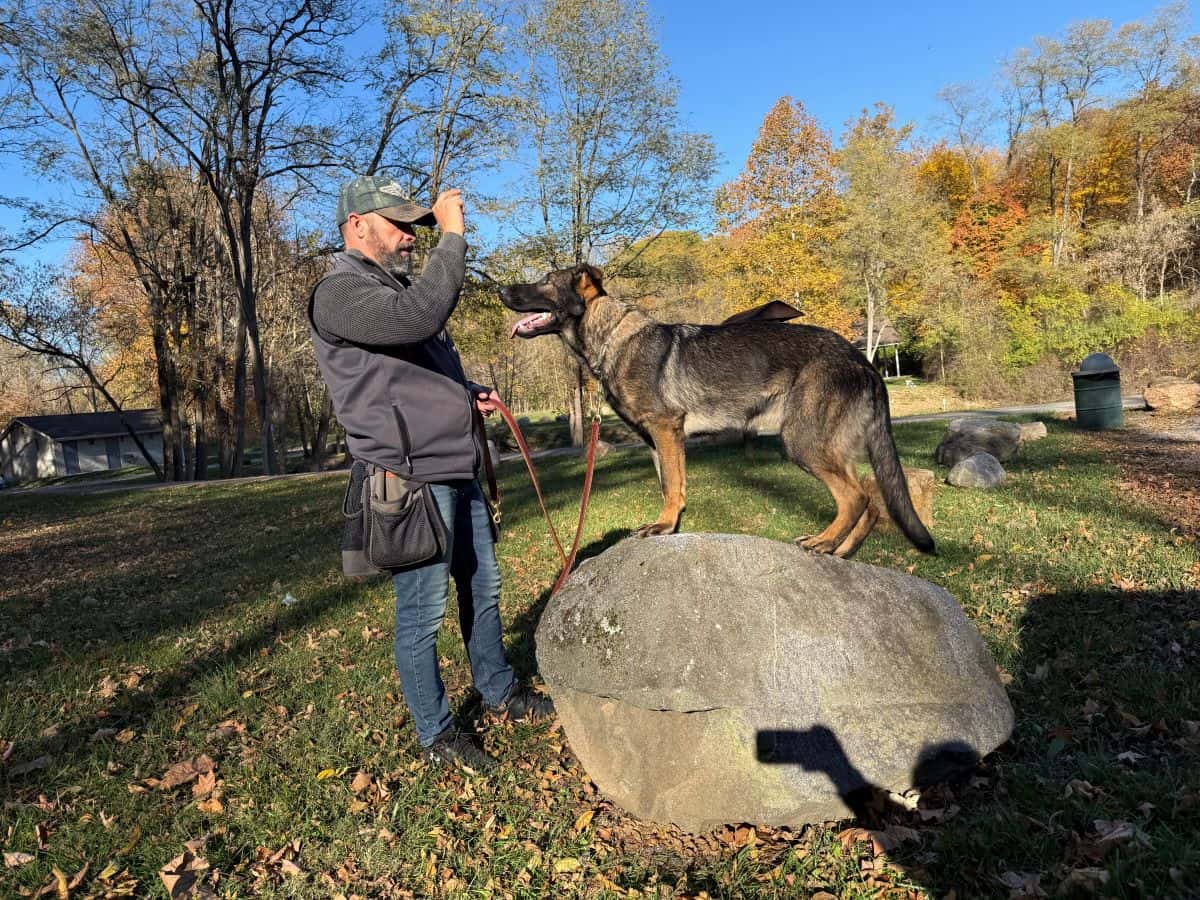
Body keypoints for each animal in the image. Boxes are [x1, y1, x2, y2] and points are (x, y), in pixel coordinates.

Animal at [496, 264, 936, 556]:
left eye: (545, 281)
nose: (499, 289)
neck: (610, 338)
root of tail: (862, 360)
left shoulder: (666, 429)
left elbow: (673, 484)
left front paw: (663, 526)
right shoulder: (655, 441)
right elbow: (669, 485)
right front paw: (671, 527)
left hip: (802, 442)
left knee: (855, 496)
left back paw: (824, 540)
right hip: (828, 446)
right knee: (871, 502)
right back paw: (841, 550)